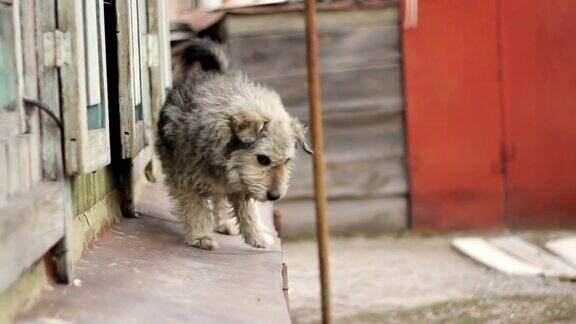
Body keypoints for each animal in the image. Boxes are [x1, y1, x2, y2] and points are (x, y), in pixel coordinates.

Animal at [156, 38, 310, 251]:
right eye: (263, 159)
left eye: (287, 161)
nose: (275, 196)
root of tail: (213, 74)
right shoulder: (185, 179)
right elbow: (196, 207)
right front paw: (201, 236)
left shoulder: (243, 184)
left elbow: (248, 211)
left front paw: (256, 236)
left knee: (220, 200)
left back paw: (225, 223)